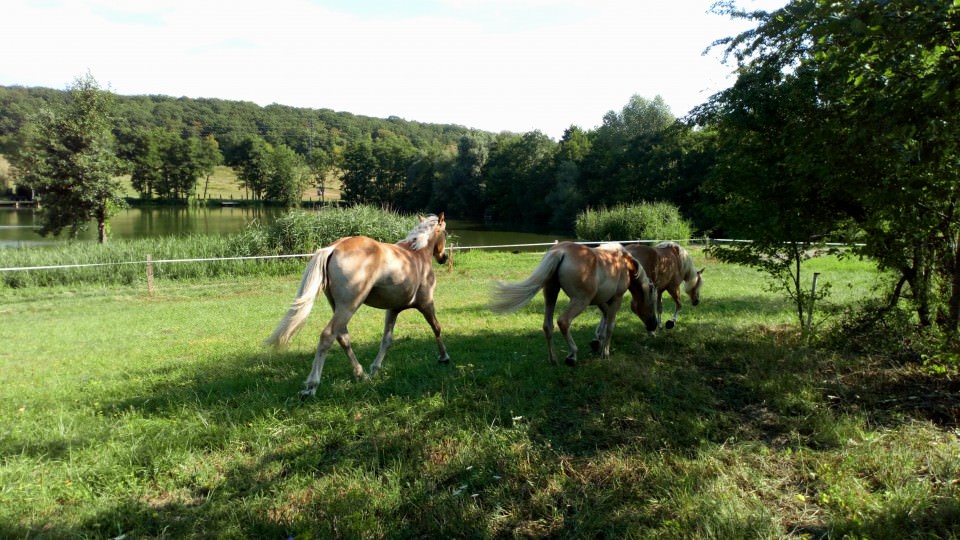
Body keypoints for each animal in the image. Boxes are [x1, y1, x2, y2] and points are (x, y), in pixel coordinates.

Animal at [266, 212, 450, 396]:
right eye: (445, 233)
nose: (444, 257)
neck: (417, 253)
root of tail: (334, 248)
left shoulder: (393, 310)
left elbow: (387, 340)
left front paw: (375, 369)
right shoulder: (426, 303)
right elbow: (437, 328)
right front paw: (444, 357)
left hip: (339, 308)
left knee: (343, 337)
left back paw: (361, 374)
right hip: (349, 306)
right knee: (328, 335)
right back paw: (311, 386)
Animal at [488, 242, 660, 364]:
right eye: (651, 303)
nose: (653, 325)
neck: (624, 263)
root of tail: (561, 251)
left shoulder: (600, 300)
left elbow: (604, 318)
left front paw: (598, 342)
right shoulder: (616, 298)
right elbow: (610, 325)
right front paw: (605, 352)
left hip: (551, 295)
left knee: (548, 326)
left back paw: (553, 360)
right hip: (579, 301)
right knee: (563, 321)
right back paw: (572, 355)